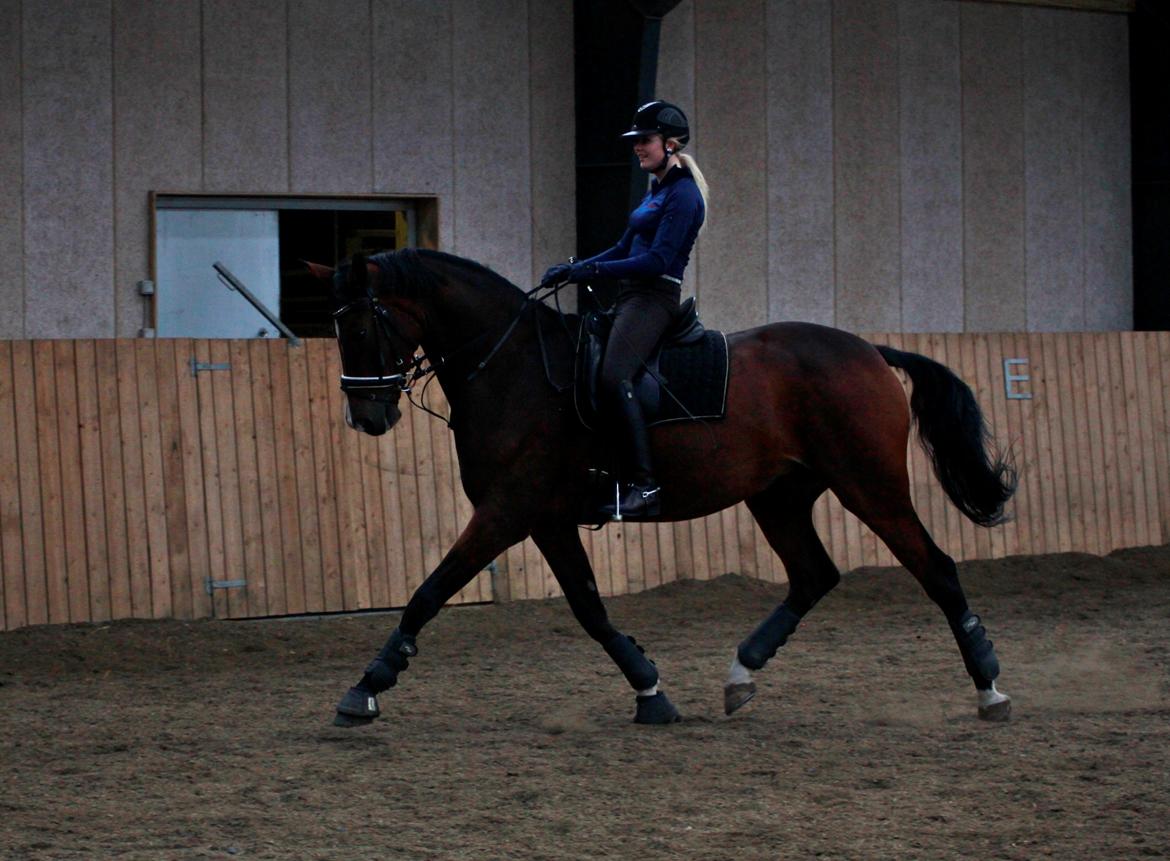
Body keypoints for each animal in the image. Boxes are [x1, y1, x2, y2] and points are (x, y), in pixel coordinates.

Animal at [311, 246, 1015, 725]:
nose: (367, 417)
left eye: (361, 327)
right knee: (814, 575)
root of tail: (869, 350)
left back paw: (989, 688)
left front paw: (366, 687)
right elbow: (590, 608)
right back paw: (741, 673)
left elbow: (428, 593)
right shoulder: (546, 518)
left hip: (870, 486)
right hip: (779, 495)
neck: (514, 368)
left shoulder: (506, 512)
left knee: (937, 569)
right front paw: (650, 689)